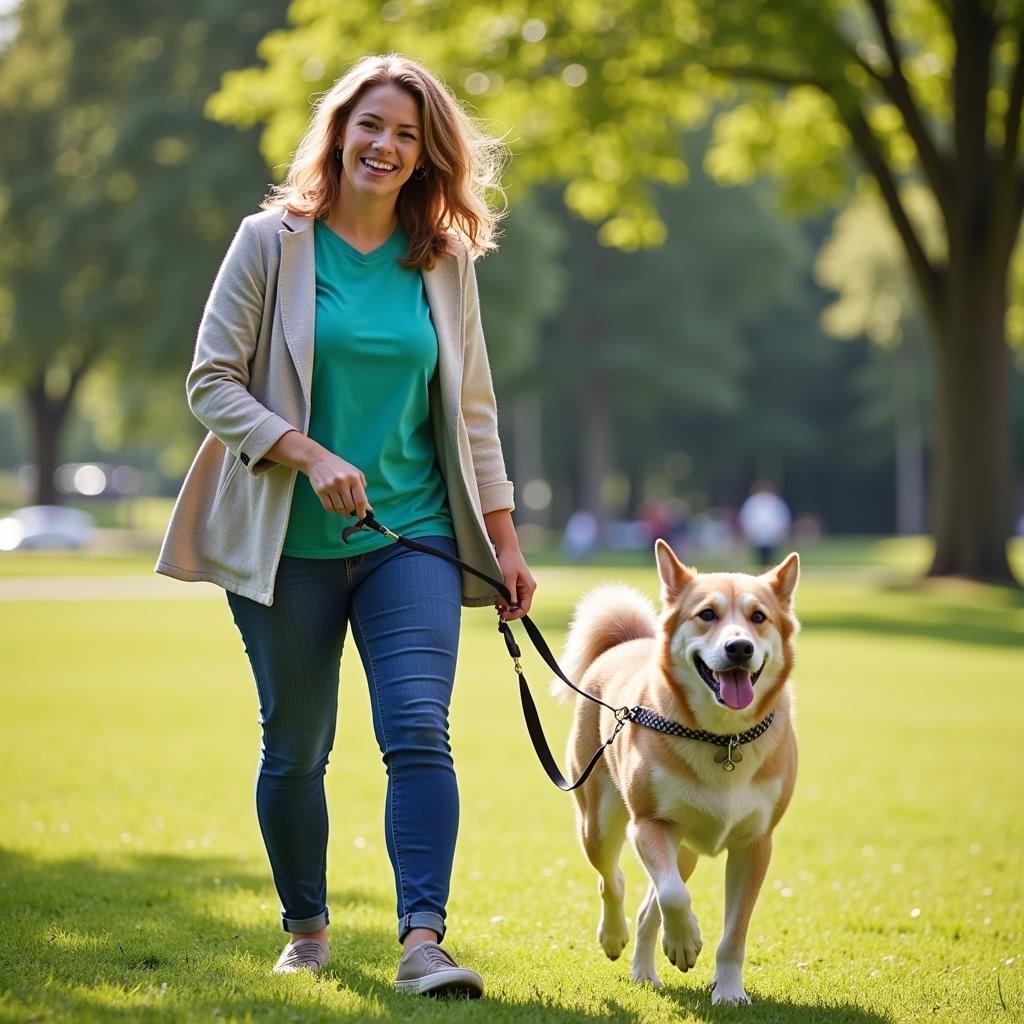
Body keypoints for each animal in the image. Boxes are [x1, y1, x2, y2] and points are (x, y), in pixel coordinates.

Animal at [561, 540, 798, 1003]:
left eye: (758, 617)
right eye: (706, 614)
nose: (739, 647)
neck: (722, 738)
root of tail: (629, 642)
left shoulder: (755, 844)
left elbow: (734, 933)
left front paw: (729, 990)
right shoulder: (650, 824)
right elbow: (673, 895)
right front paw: (685, 942)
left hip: (684, 851)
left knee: (648, 906)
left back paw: (644, 970)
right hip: (600, 822)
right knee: (613, 880)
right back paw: (616, 938)